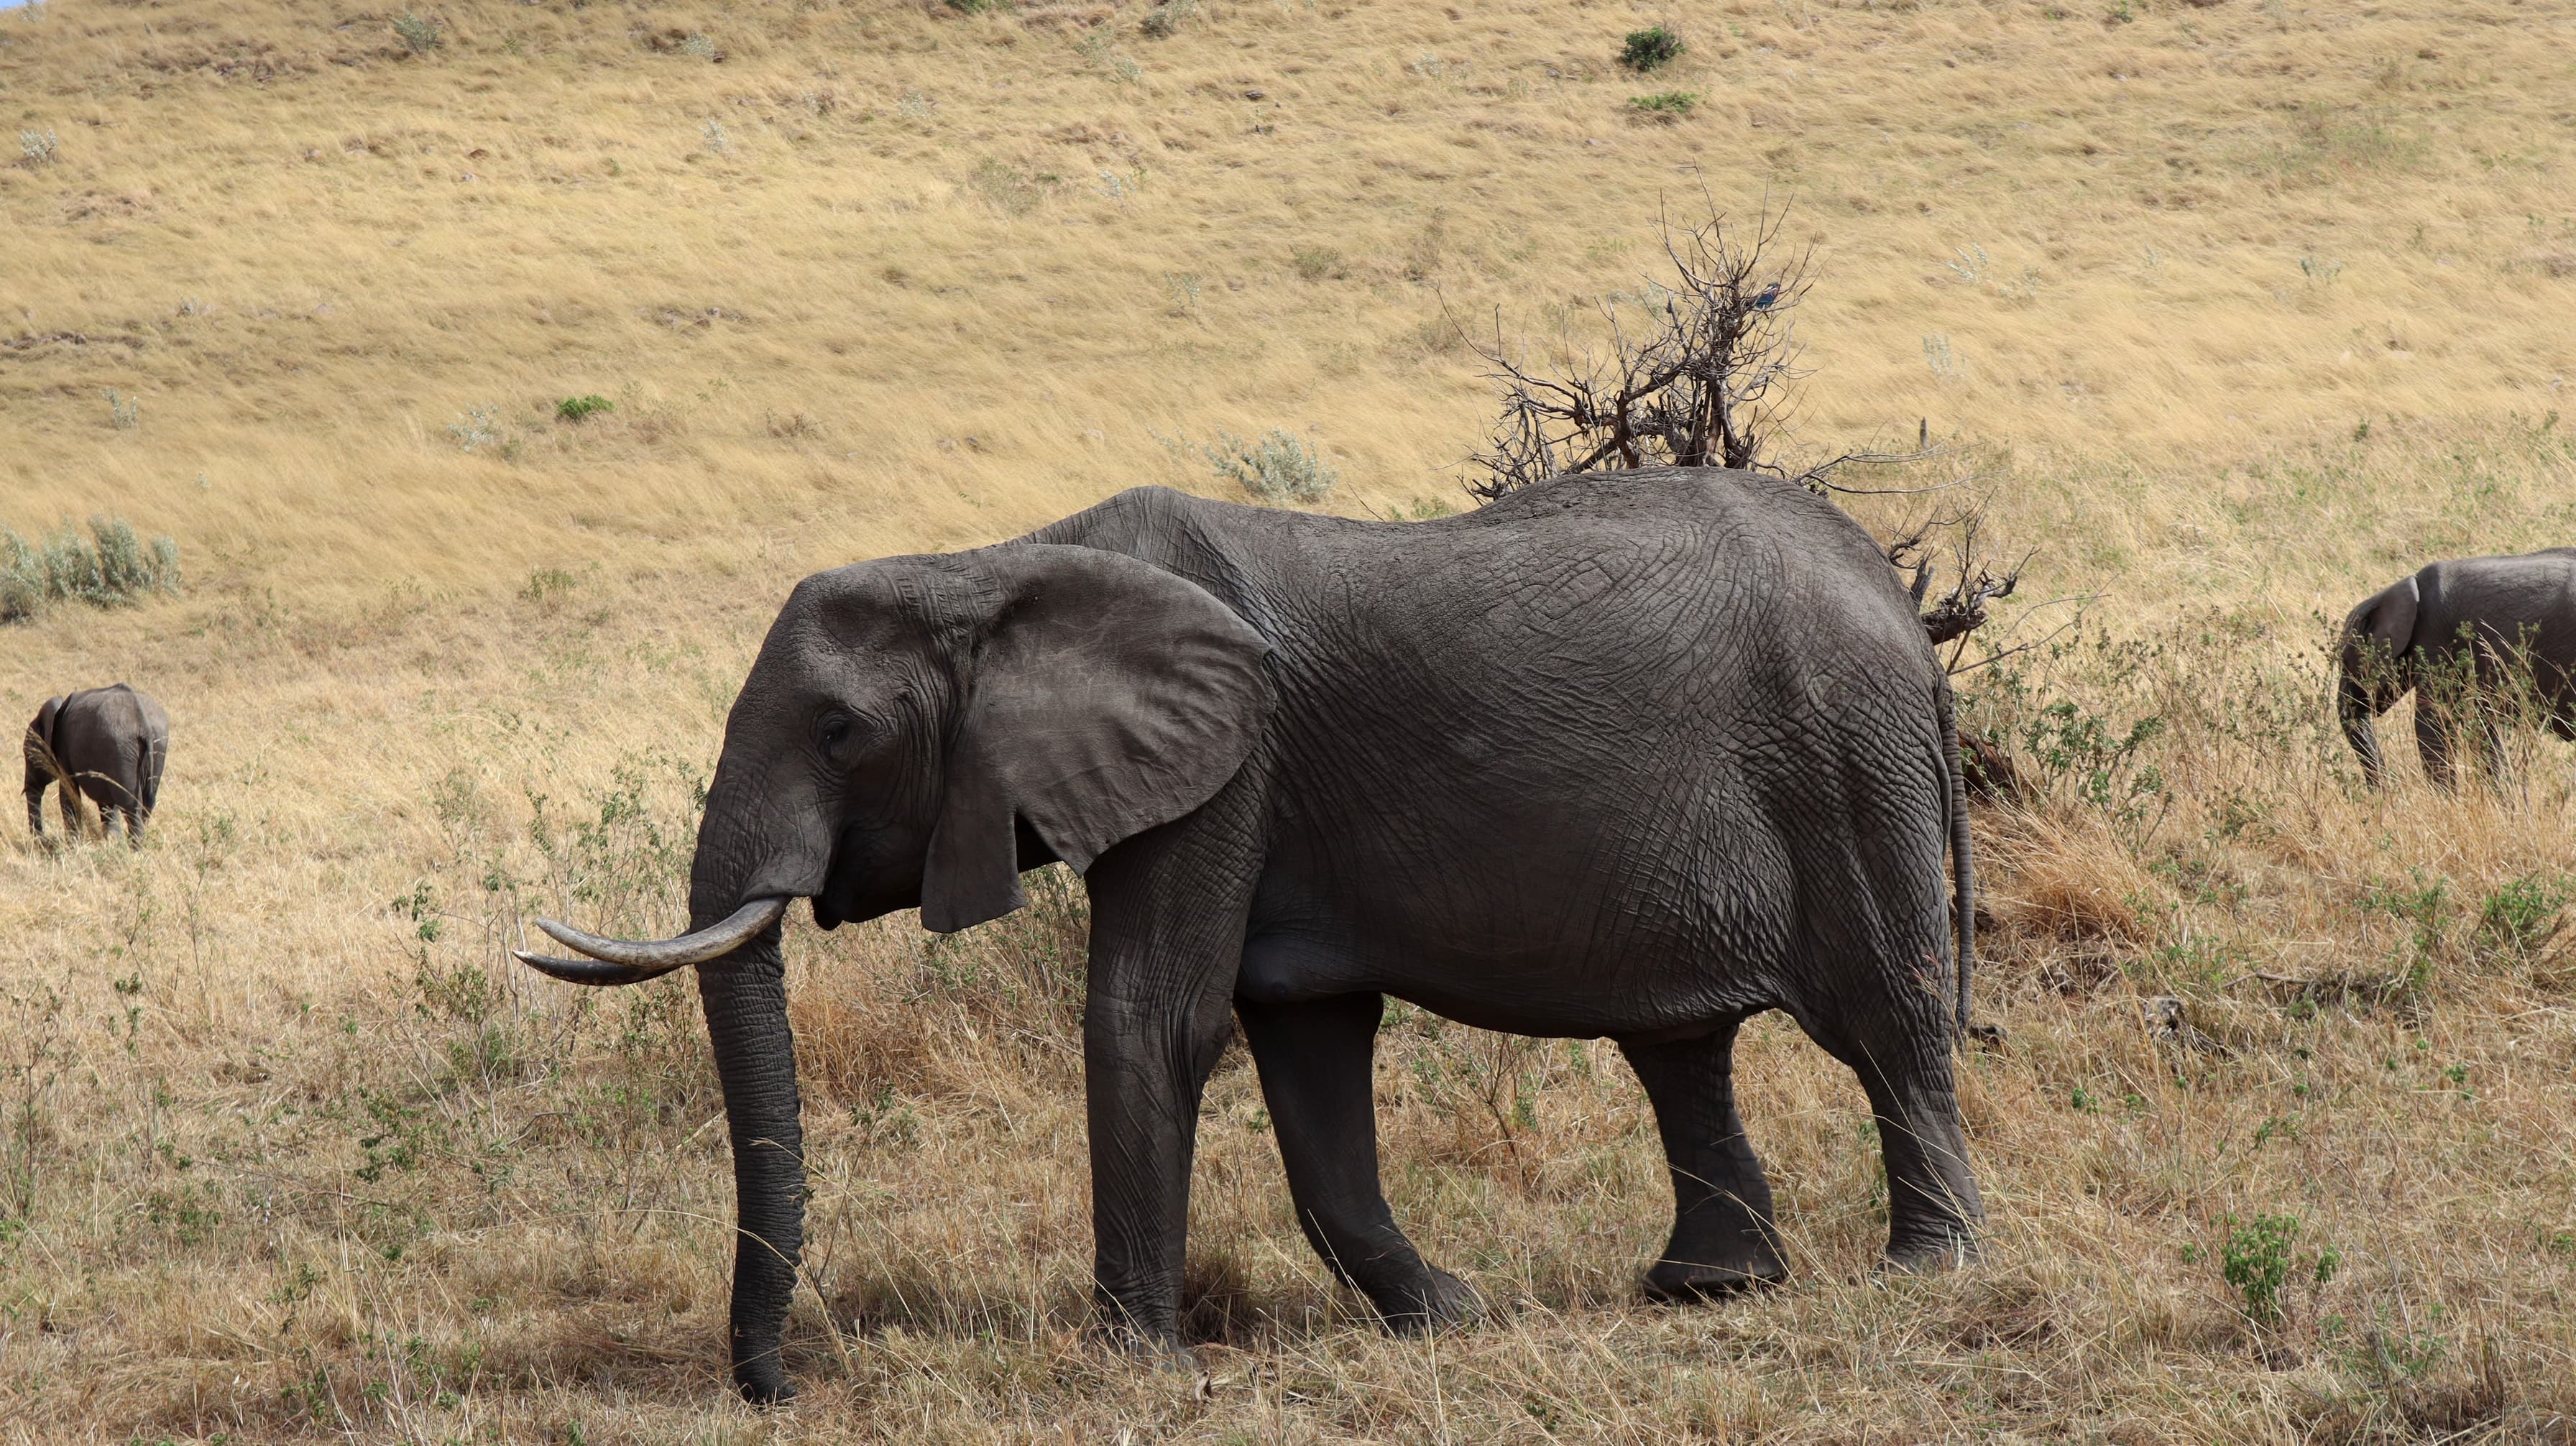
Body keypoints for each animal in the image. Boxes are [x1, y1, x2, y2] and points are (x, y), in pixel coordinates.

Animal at [23, 683, 168, 845]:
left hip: (122, 750)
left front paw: (74, 845)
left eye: (28, 756)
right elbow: (105, 802)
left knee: (131, 805)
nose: (44, 841)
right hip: (156, 748)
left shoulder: (64, 749)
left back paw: (136, 848)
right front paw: (111, 842)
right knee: (146, 805)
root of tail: (143, 723)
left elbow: (68, 792)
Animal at [517, 469, 1983, 1403]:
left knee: (1885, 1018)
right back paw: (1706, 1291)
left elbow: (1152, 1018)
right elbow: (1306, 1044)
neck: (997, 563)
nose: (777, 1391)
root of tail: (1897, 602)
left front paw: (1132, 1372)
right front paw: (1445, 1318)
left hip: (1845, 765)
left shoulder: (1229, 763)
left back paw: (1925, 1269)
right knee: (1679, 1046)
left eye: (838, 732)